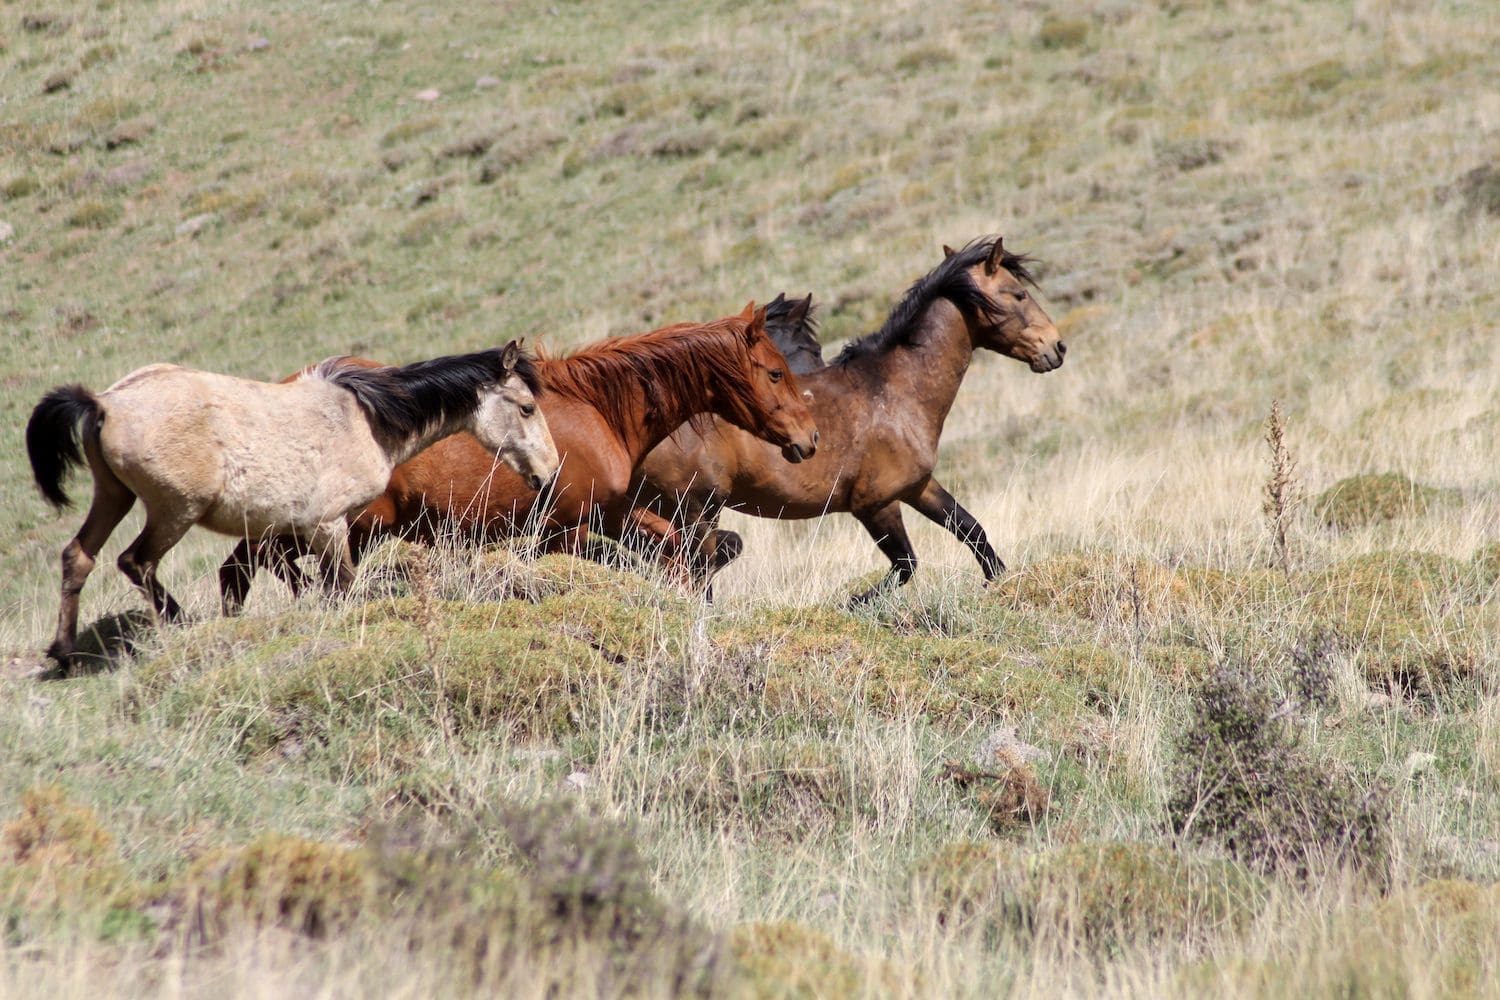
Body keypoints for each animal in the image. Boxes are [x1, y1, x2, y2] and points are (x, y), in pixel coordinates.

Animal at [27, 341, 558, 665]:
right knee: (135, 561)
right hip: (174, 511)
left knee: (80, 556)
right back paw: (178, 622)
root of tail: (105, 403)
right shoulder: (328, 526)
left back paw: (63, 653)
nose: (550, 472)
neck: (365, 419)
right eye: (527, 407)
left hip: (113, 495)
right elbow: (340, 587)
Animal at [219, 301, 822, 605]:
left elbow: (685, 549)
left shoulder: (614, 512)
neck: (598, 409)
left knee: (240, 571)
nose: (810, 438)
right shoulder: (565, 530)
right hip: (347, 527)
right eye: (776, 371)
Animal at [633, 236, 1068, 602]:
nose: (1057, 347)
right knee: (692, 567)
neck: (894, 390)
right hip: (693, 507)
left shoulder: (917, 486)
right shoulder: (875, 504)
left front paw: (998, 581)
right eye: (1019, 294)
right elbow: (906, 565)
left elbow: (971, 530)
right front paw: (850, 603)